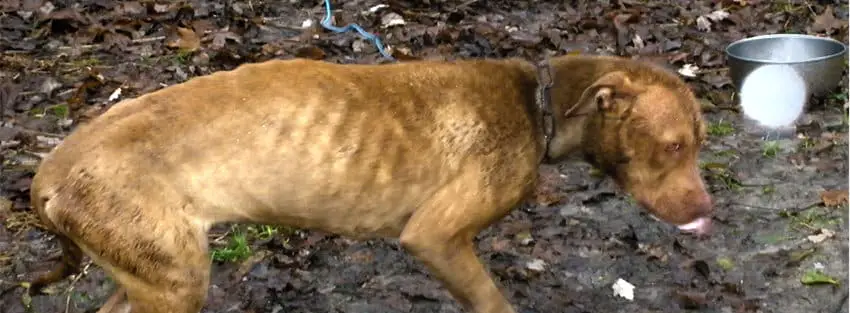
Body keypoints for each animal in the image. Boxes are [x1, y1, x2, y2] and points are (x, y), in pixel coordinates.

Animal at [26, 54, 712, 312]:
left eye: (701, 143)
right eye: (675, 146)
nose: (710, 213)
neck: (538, 102)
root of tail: (50, 173)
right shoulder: (435, 238)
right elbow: (493, 301)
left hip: (149, 277)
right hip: (175, 284)